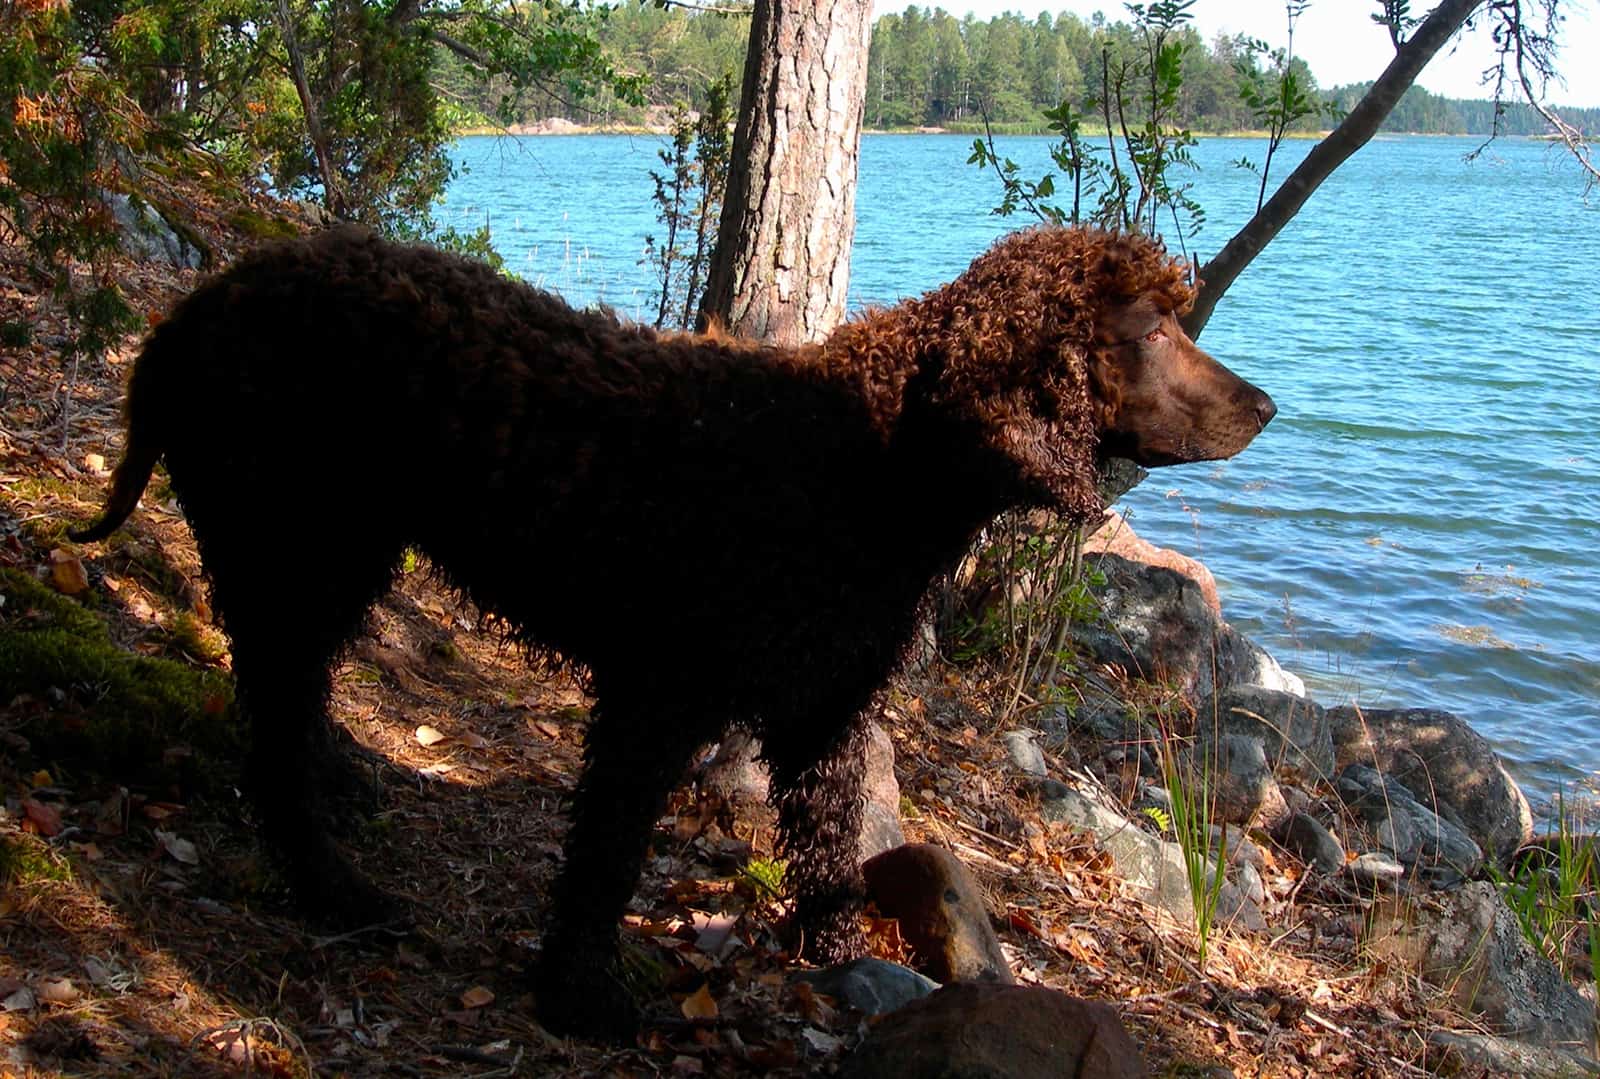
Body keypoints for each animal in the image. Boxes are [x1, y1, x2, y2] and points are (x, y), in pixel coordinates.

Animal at [72, 224, 1273, 1030]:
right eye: (1150, 327)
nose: (1266, 407)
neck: (872, 462)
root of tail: (195, 307)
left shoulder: (827, 709)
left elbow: (828, 847)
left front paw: (836, 957)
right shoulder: (657, 692)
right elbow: (606, 855)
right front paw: (579, 992)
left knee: (284, 699)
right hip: (299, 541)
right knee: (274, 726)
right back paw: (337, 888)